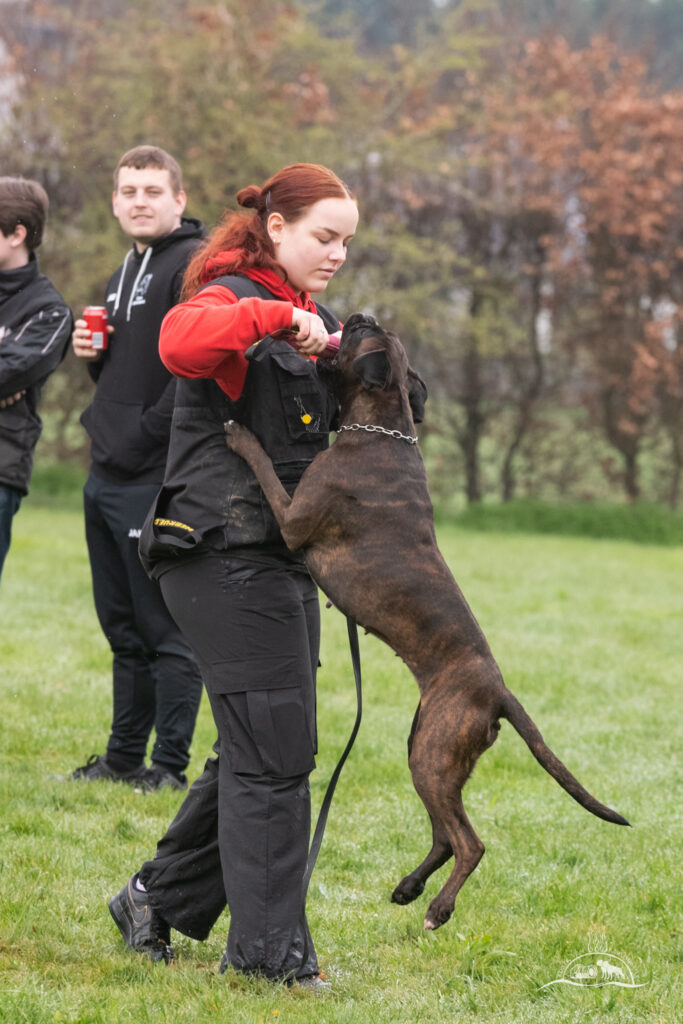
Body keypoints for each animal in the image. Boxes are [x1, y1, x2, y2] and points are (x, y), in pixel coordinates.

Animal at [225, 315, 630, 933]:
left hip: (433, 756)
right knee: (444, 835)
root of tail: (499, 692)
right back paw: (410, 887)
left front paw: (240, 437)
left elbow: (266, 469)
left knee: (469, 842)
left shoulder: (292, 519)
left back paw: (438, 908)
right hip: (428, 750)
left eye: (363, 333)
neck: (383, 427)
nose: (358, 314)